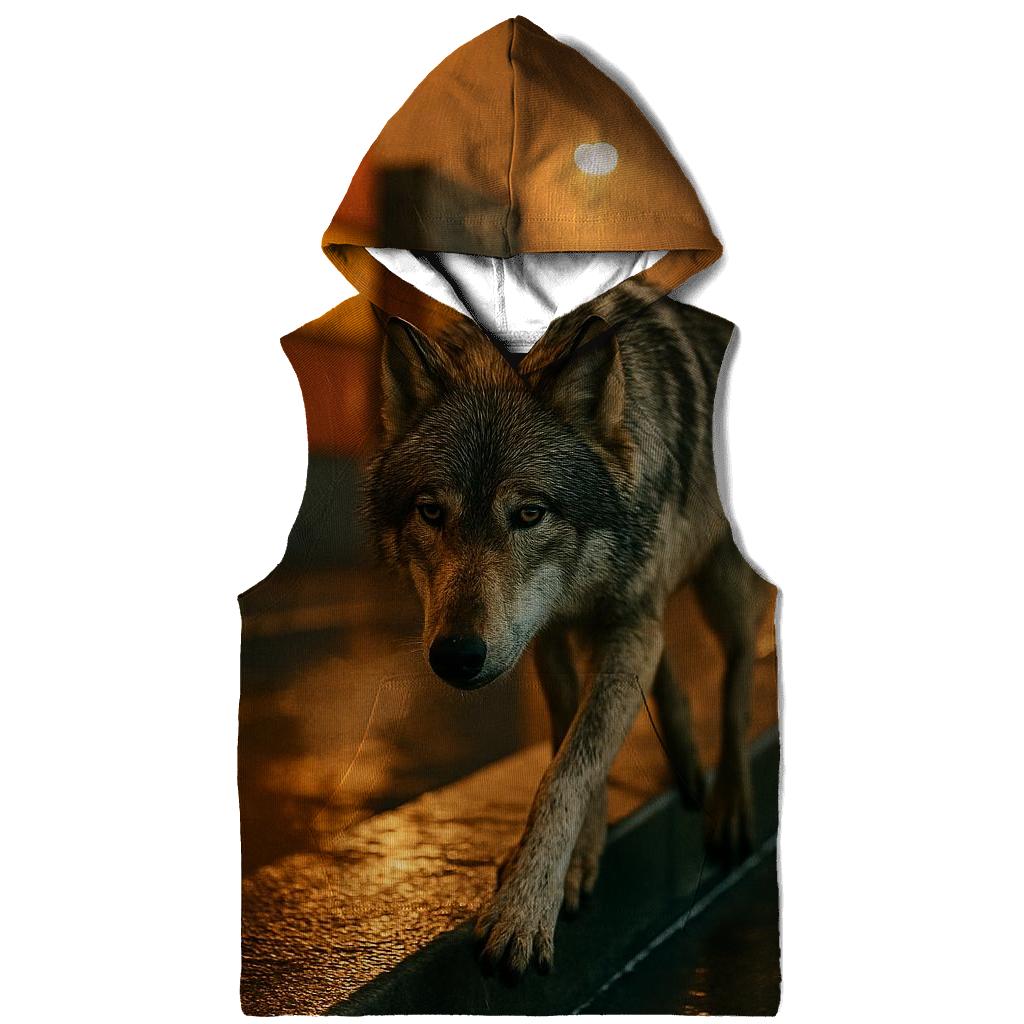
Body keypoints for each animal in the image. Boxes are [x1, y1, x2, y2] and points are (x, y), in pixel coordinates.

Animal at [363, 286, 769, 978]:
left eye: (530, 513)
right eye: (431, 512)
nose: (456, 656)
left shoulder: (625, 623)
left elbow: (570, 768)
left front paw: (524, 910)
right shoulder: (548, 634)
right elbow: (568, 740)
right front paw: (575, 858)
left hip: (724, 591)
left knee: (738, 681)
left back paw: (731, 801)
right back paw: (687, 763)